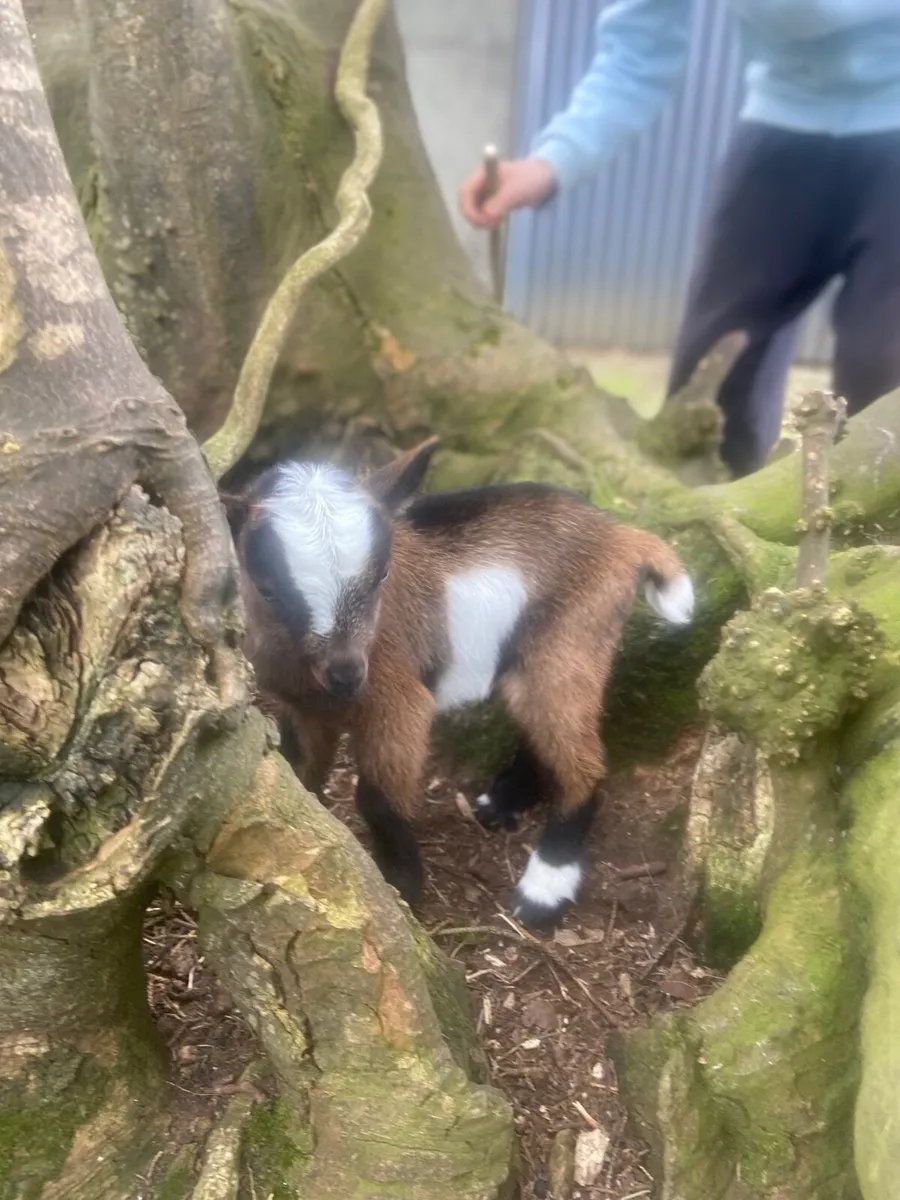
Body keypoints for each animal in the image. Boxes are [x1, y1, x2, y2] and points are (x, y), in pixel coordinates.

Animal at [225, 437, 694, 928]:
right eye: (268, 588)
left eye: (382, 575)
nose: (347, 674)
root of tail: (623, 536)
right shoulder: (301, 709)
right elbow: (298, 775)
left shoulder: (399, 700)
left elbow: (375, 798)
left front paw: (403, 887)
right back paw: (504, 801)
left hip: (572, 642)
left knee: (583, 762)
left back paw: (544, 890)